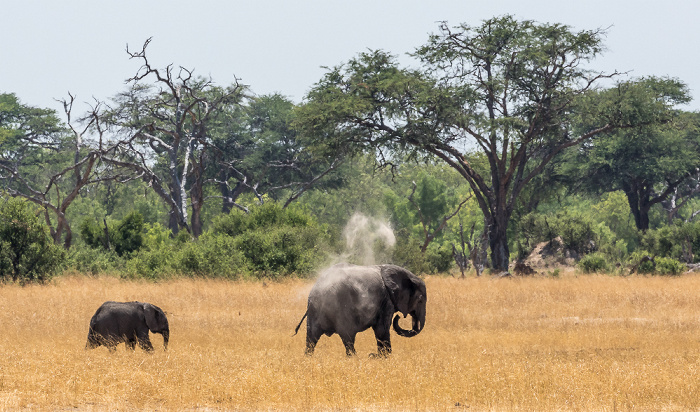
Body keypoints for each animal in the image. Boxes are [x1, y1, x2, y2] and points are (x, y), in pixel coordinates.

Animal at [292, 264, 424, 358]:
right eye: (421, 300)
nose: (399, 317)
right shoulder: (387, 301)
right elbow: (382, 329)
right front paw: (384, 357)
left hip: (314, 312)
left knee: (312, 338)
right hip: (341, 309)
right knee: (348, 336)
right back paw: (355, 358)